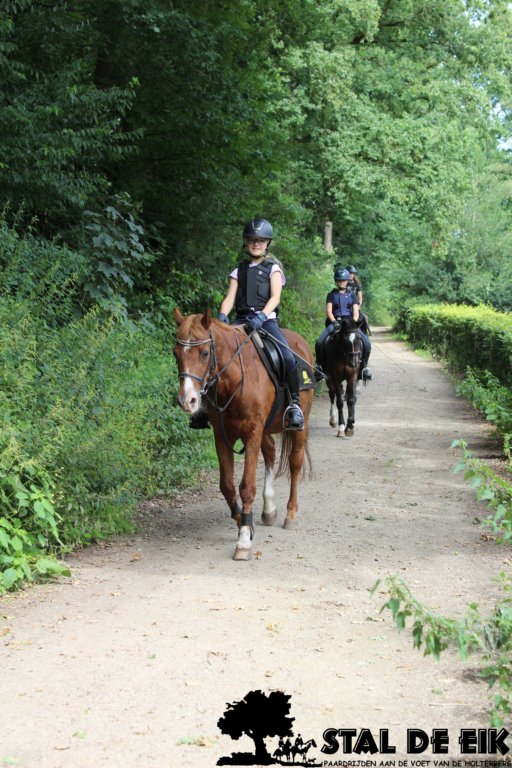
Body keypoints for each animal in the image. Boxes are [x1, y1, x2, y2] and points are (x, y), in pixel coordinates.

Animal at [173, 308, 314, 561]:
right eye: (175, 353)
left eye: (205, 353)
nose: (187, 400)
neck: (234, 379)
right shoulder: (222, 437)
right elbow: (227, 486)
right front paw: (245, 524)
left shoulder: (251, 433)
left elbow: (247, 486)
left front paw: (244, 541)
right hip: (266, 430)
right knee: (270, 453)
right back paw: (269, 510)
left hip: (300, 425)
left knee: (295, 463)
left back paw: (290, 515)